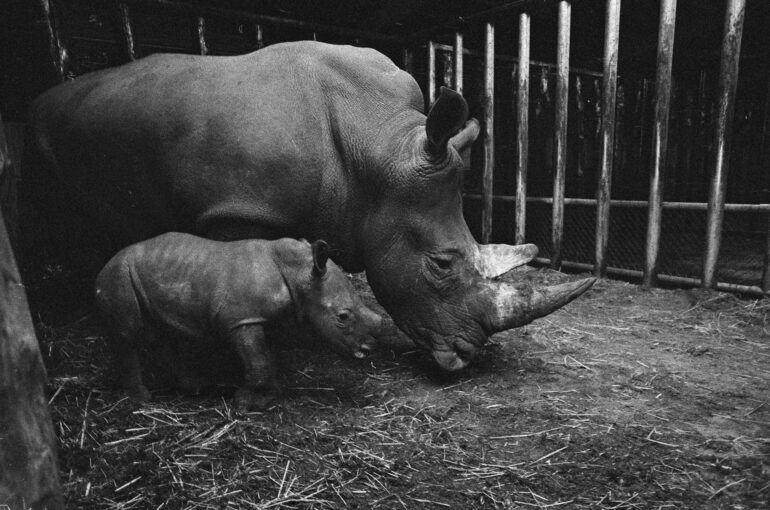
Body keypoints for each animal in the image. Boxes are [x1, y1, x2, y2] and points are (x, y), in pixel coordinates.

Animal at [95, 233, 382, 407]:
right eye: (342, 317)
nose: (367, 349)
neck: (298, 274)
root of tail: (104, 265)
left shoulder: (264, 318)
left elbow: (265, 359)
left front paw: (266, 396)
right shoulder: (242, 320)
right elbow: (258, 361)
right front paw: (244, 401)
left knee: (164, 333)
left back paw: (195, 387)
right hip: (118, 276)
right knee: (127, 337)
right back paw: (142, 401)